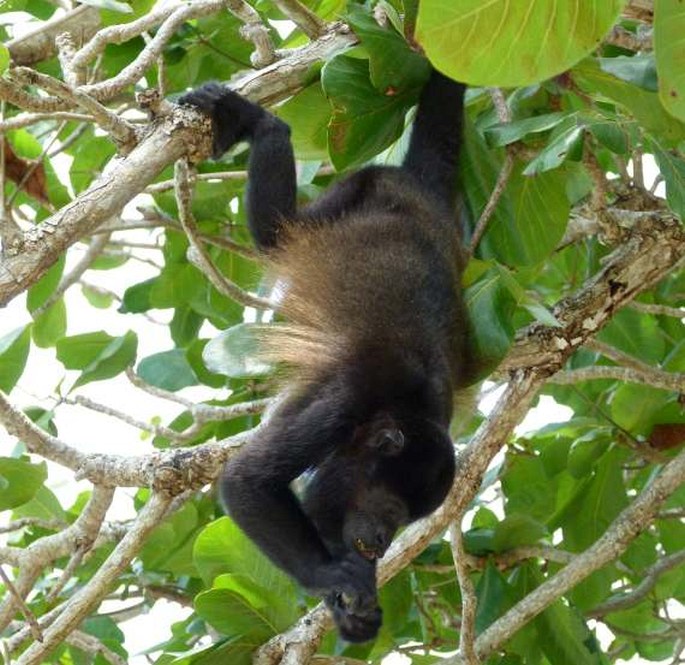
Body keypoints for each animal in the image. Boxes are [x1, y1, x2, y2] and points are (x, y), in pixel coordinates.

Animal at [179, 66, 470, 640]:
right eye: (391, 508)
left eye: (407, 520)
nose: (381, 544)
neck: (400, 411)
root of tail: (417, 183)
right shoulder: (348, 399)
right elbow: (246, 480)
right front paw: (330, 575)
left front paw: (358, 610)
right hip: (352, 192)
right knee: (275, 229)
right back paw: (259, 124)